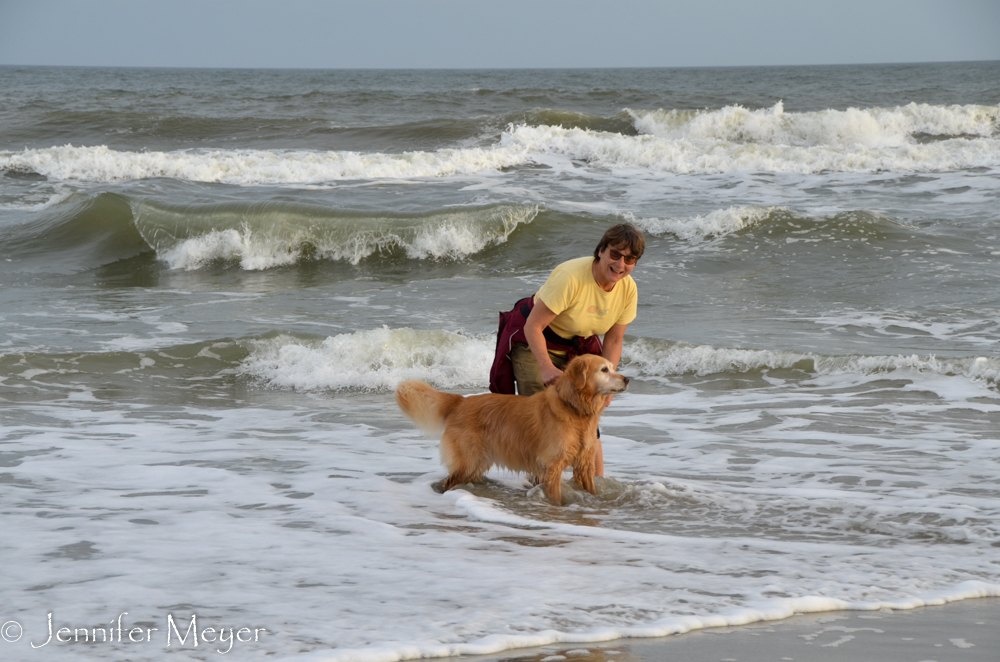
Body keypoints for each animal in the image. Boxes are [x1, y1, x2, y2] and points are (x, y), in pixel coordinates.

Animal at [394, 356, 628, 506]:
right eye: (604, 370)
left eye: (612, 366)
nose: (627, 379)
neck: (574, 408)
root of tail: (460, 401)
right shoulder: (552, 466)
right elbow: (556, 496)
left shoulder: (584, 463)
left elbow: (592, 489)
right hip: (469, 459)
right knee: (448, 481)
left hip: (477, 462)